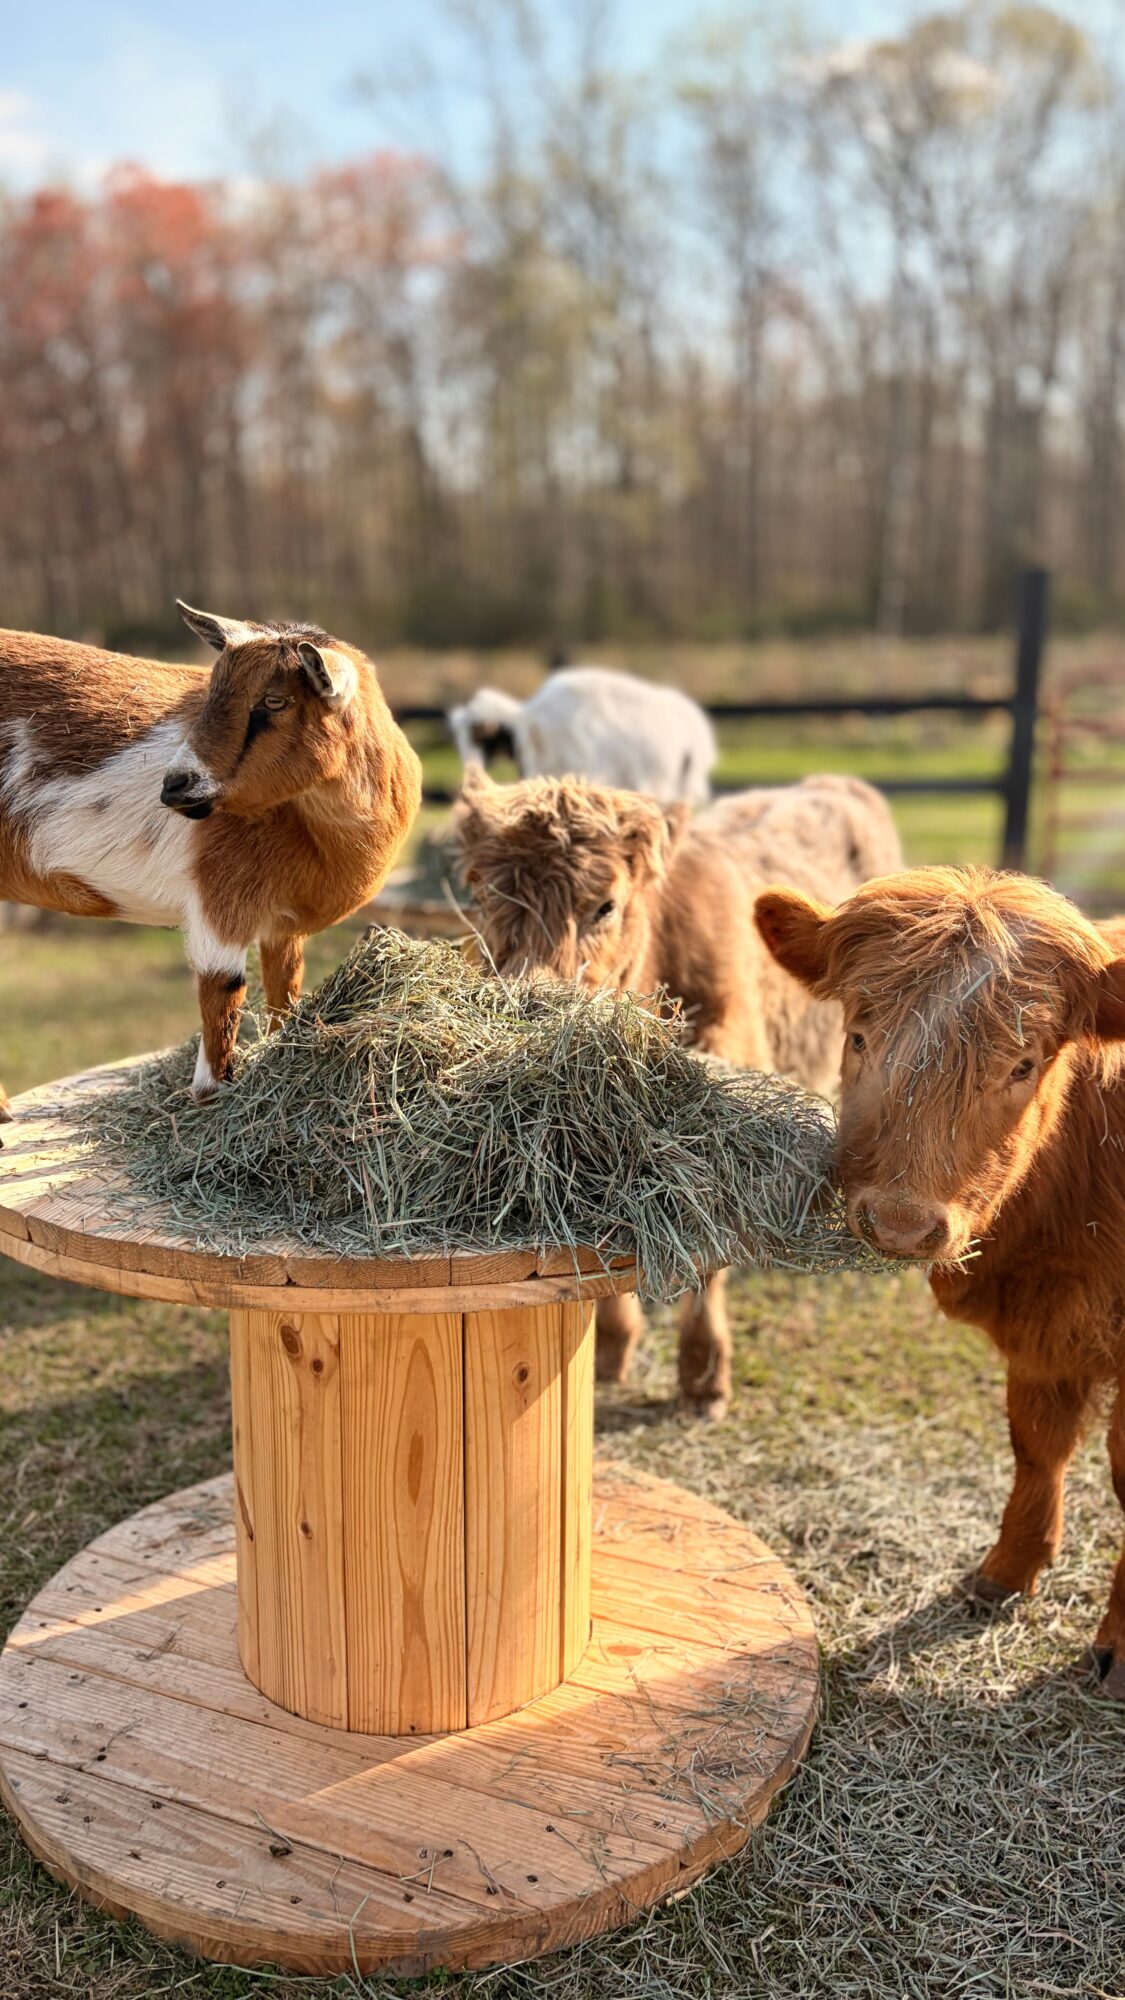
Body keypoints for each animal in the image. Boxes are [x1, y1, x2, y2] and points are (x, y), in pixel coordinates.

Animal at [0, 603, 422, 1110]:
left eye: (274, 701)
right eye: (212, 690)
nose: (174, 785)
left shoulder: (282, 924)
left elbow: (285, 988)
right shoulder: (221, 896)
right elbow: (222, 989)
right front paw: (212, 1093)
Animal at [754, 864, 1125, 1698]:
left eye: (1022, 1064)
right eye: (858, 1036)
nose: (897, 1222)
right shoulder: (1045, 1334)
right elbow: (1034, 1444)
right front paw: (1004, 1572)